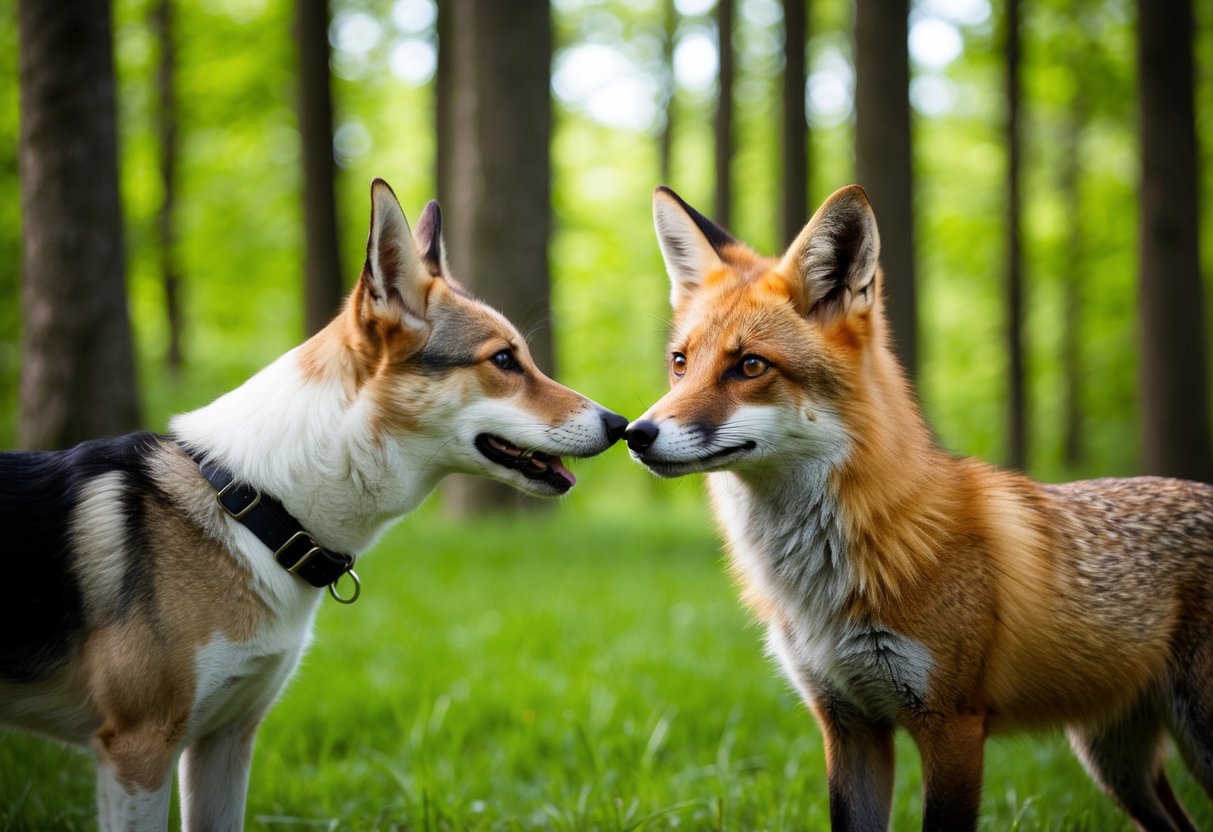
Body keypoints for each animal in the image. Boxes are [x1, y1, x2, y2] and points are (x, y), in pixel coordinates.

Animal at [623, 183, 1213, 831]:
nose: (634, 433)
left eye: (750, 365)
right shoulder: (849, 723)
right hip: (1115, 761)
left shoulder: (952, 725)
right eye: (680, 363)